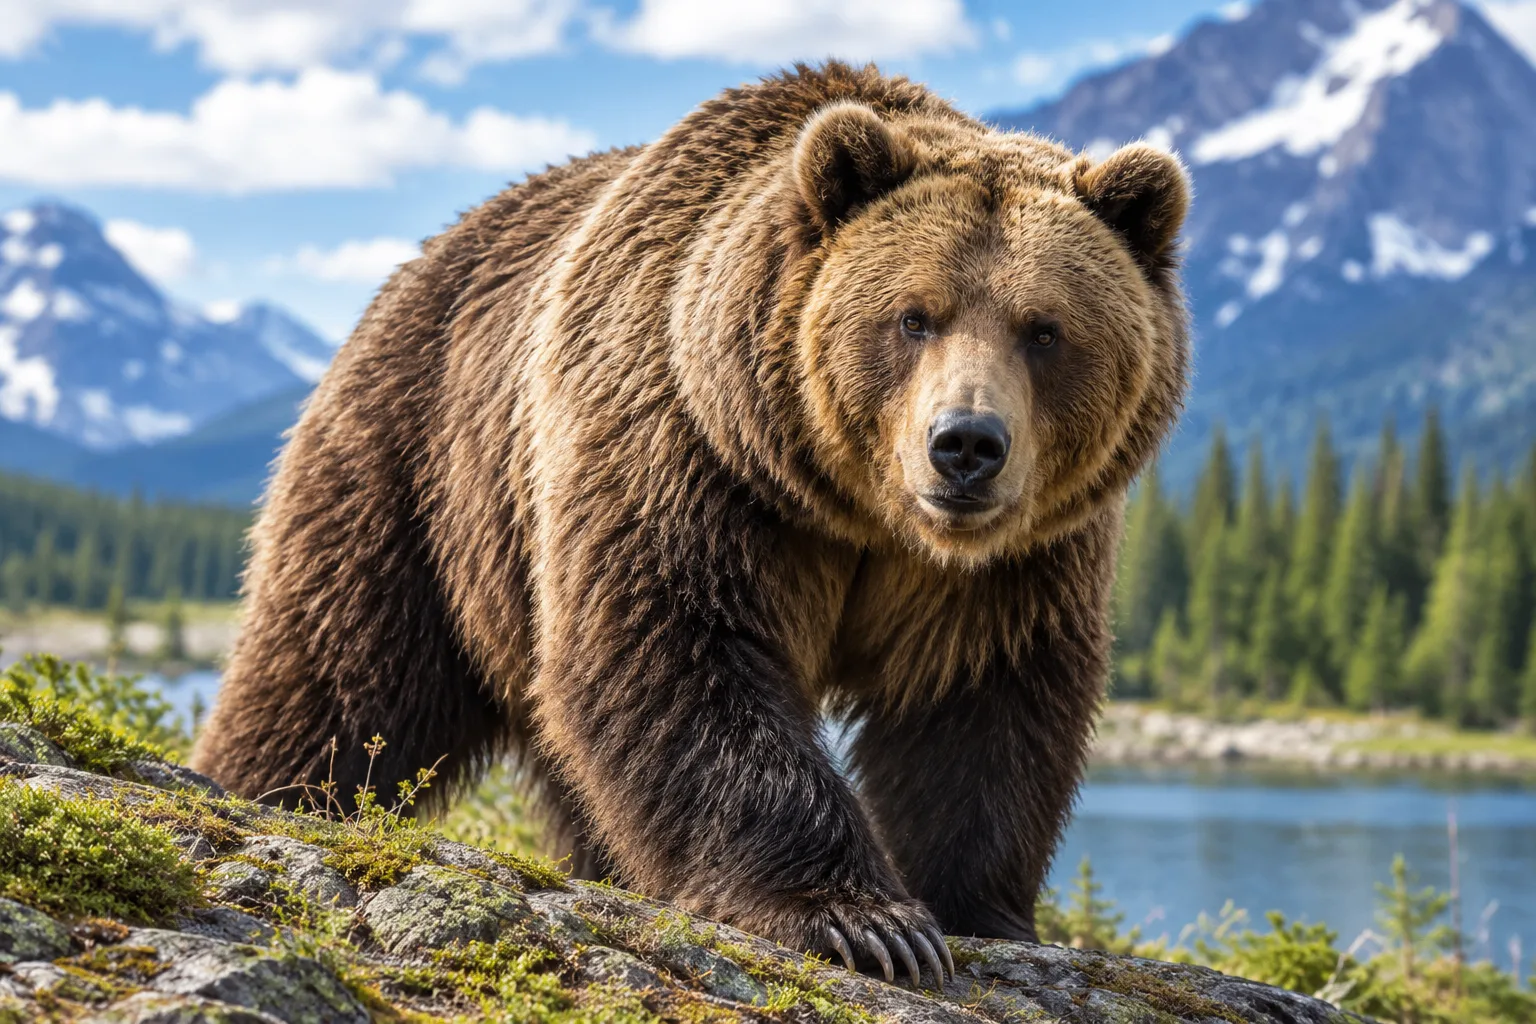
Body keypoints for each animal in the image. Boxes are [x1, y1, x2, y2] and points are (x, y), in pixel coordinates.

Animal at [192, 61, 1190, 987]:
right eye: (914, 316)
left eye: (1044, 329)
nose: (966, 445)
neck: (855, 510)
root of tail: (418, 263)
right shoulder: (688, 449)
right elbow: (677, 647)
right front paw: (863, 921)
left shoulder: (1016, 562)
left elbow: (984, 701)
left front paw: (979, 912)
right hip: (419, 472)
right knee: (337, 671)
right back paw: (260, 785)